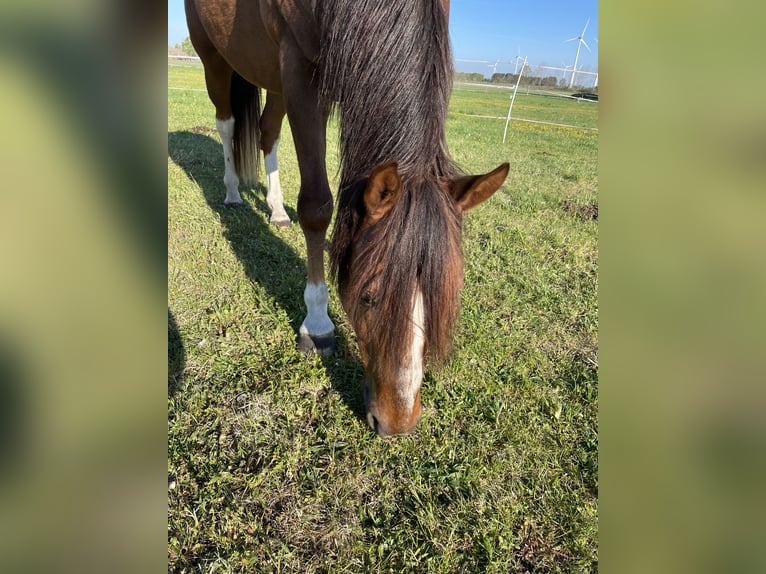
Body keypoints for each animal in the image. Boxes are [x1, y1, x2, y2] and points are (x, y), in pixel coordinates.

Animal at [185, 0, 510, 438]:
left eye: (444, 298)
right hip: (216, 60)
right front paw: (317, 322)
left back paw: (275, 209)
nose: (397, 423)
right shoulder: (301, 74)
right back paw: (234, 192)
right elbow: (317, 207)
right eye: (369, 297)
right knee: (226, 123)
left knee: (267, 132)